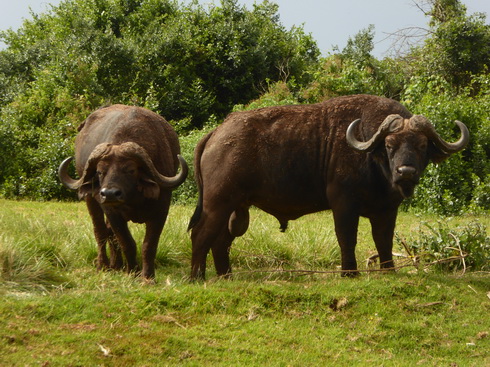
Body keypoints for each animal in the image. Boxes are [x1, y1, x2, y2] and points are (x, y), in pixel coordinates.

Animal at [58, 103, 188, 278]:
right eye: (100, 171)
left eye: (131, 170)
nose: (109, 194)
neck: (134, 198)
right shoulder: (112, 213)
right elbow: (127, 242)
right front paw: (132, 271)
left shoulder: (161, 210)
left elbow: (149, 245)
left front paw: (147, 277)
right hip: (91, 200)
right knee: (101, 231)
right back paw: (104, 265)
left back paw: (116, 265)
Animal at [187, 94, 468, 278]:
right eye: (390, 145)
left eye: (422, 145)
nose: (406, 172)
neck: (371, 159)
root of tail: (217, 133)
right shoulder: (344, 204)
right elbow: (347, 237)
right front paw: (349, 272)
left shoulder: (388, 210)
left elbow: (384, 240)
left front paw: (388, 270)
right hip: (217, 203)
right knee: (200, 234)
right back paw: (197, 276)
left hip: (234, 206)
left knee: (220, 240)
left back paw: (225, 275)